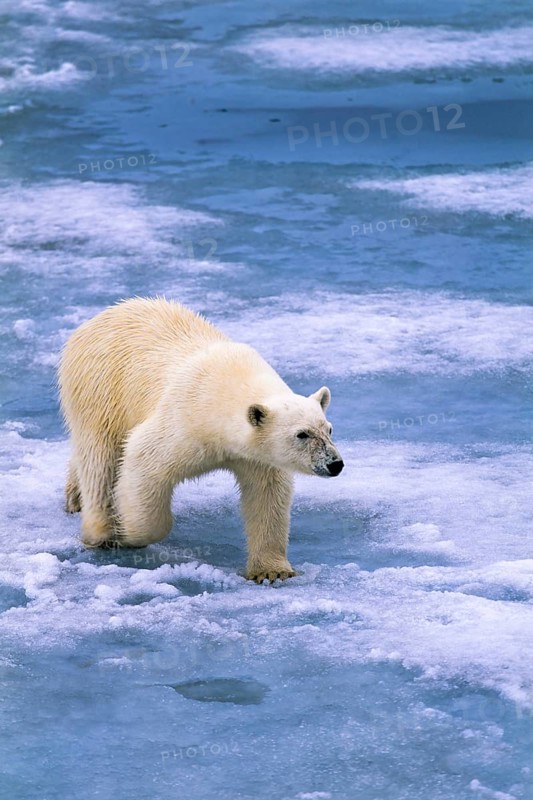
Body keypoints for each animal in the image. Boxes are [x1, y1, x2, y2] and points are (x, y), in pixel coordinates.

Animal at [58, 298, 344, 583]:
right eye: (302, 434)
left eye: (328, 429)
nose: (335, 464)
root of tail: (95, 320)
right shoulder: (184, 419)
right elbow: (143, 460)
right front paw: (129, 534)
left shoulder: (255, 455)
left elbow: (267, 495)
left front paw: (272, 570)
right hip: (100, 388)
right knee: (99, 457)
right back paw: (101, 532)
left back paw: (75, 496)